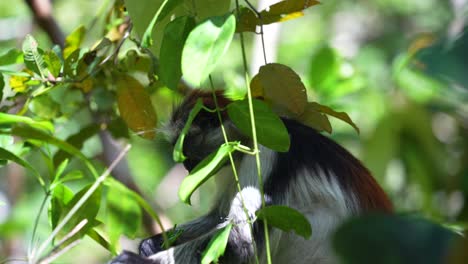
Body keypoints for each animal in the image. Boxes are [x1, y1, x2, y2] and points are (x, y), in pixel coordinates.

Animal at [110, 91, 392, 264]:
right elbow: (218, 217)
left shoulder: (267, 151)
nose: (188, 167)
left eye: (186, 149)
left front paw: (136, 260)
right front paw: (151, 244)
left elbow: (241, 243)